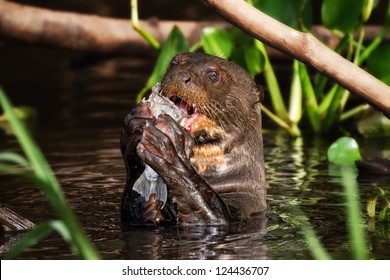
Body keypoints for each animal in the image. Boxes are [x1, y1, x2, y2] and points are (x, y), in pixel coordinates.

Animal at [120, 52, 266, 225]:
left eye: (213, 75)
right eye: (173, 63)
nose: (179, 74)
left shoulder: (242, 207)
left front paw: (172, 152)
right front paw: (135, 126)